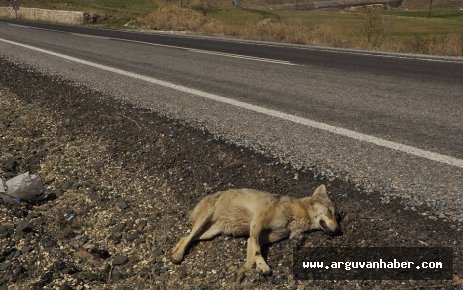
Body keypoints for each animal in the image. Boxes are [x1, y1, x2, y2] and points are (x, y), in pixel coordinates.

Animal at [172, 185, 342, 274]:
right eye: (330, 212)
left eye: (336, 215)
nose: (338, 231)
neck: (295, 216)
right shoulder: (257, 224)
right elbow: (257, 250)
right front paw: (263, 267)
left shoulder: (260, 236)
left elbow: (251, 253)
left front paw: (246, 270)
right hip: (203, 223)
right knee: (188, 237)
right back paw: (178, 255)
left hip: (209, 234)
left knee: (185, 237)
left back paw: (175, 250)